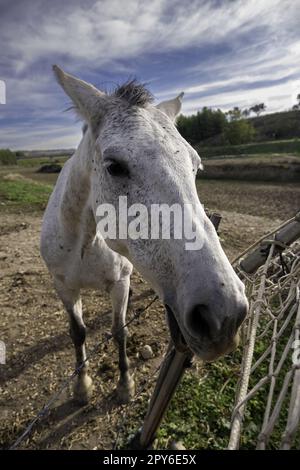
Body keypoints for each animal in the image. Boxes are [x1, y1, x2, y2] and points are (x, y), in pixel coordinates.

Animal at [39, 64, 248, 406]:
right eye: (114, 166)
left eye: (196, 166)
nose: (224, 315)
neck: (85, 242)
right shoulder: (63, 286)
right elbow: (78, 332)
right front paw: (82, 386)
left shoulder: (120, 283)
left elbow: (119, 331)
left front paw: (125, 385)